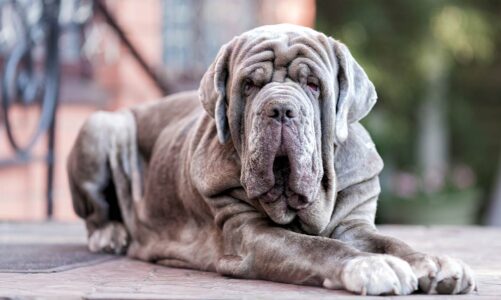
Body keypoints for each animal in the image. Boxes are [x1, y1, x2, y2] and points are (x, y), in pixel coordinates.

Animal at [68, 24, 474, 296]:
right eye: (249, 85)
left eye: (313, 85)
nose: (280, 108)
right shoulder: (249, 234)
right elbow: (316, 246)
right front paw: (370, 265)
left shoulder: (355, 224)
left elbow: (392, 242)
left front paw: (435, 263)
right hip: (104, 125)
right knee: (95, 214)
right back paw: (110, 234)